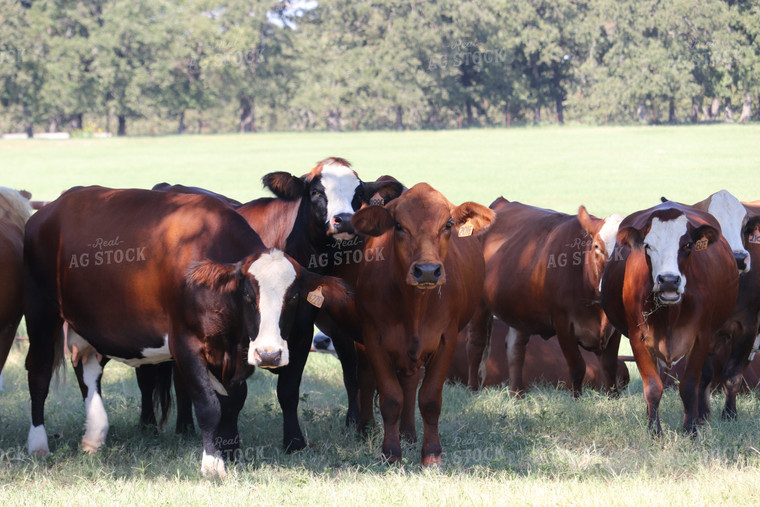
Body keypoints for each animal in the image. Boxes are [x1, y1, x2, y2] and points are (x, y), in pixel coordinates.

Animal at [348, 184, 492, 468]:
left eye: (448, 224)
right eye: (399, 226)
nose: (426, 271)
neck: (414, 306)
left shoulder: (446, 339)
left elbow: (429, 399)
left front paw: (432, 454)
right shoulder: (372, 337)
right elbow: (391, 398)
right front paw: (391, 451)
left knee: (411, 382)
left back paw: (409, 433)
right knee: (367, 376)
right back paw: (366, 429)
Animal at [470, 197, 624, 396]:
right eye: (597, 247)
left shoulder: (614, 327)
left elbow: (610, 367)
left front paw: (613, 397)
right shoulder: (563, 323)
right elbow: (577, 367)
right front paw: (577, 399)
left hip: (520, 311)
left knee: (515, 349)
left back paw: (517, 395)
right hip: (480, 306)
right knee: (476, 345)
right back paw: (472, 390)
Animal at [600, 202, 736, 436]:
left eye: (688, 245)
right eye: (647, 245)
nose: (669, 280)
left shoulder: (701, 338)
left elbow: (689, 386)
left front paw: (690, 429)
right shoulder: (638, 339)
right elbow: (653, 387)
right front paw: (654, 430)